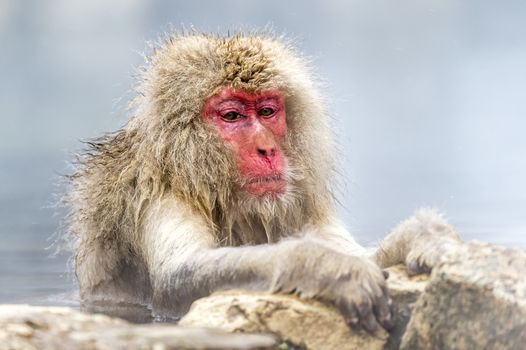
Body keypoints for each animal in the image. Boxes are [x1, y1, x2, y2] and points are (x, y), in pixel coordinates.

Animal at [69, 34, 462, 332]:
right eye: (232, 115)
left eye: (267, 112)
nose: (267, 149)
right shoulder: (156, 190)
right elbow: (177, 279)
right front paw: (325, 266)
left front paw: (422, 237)